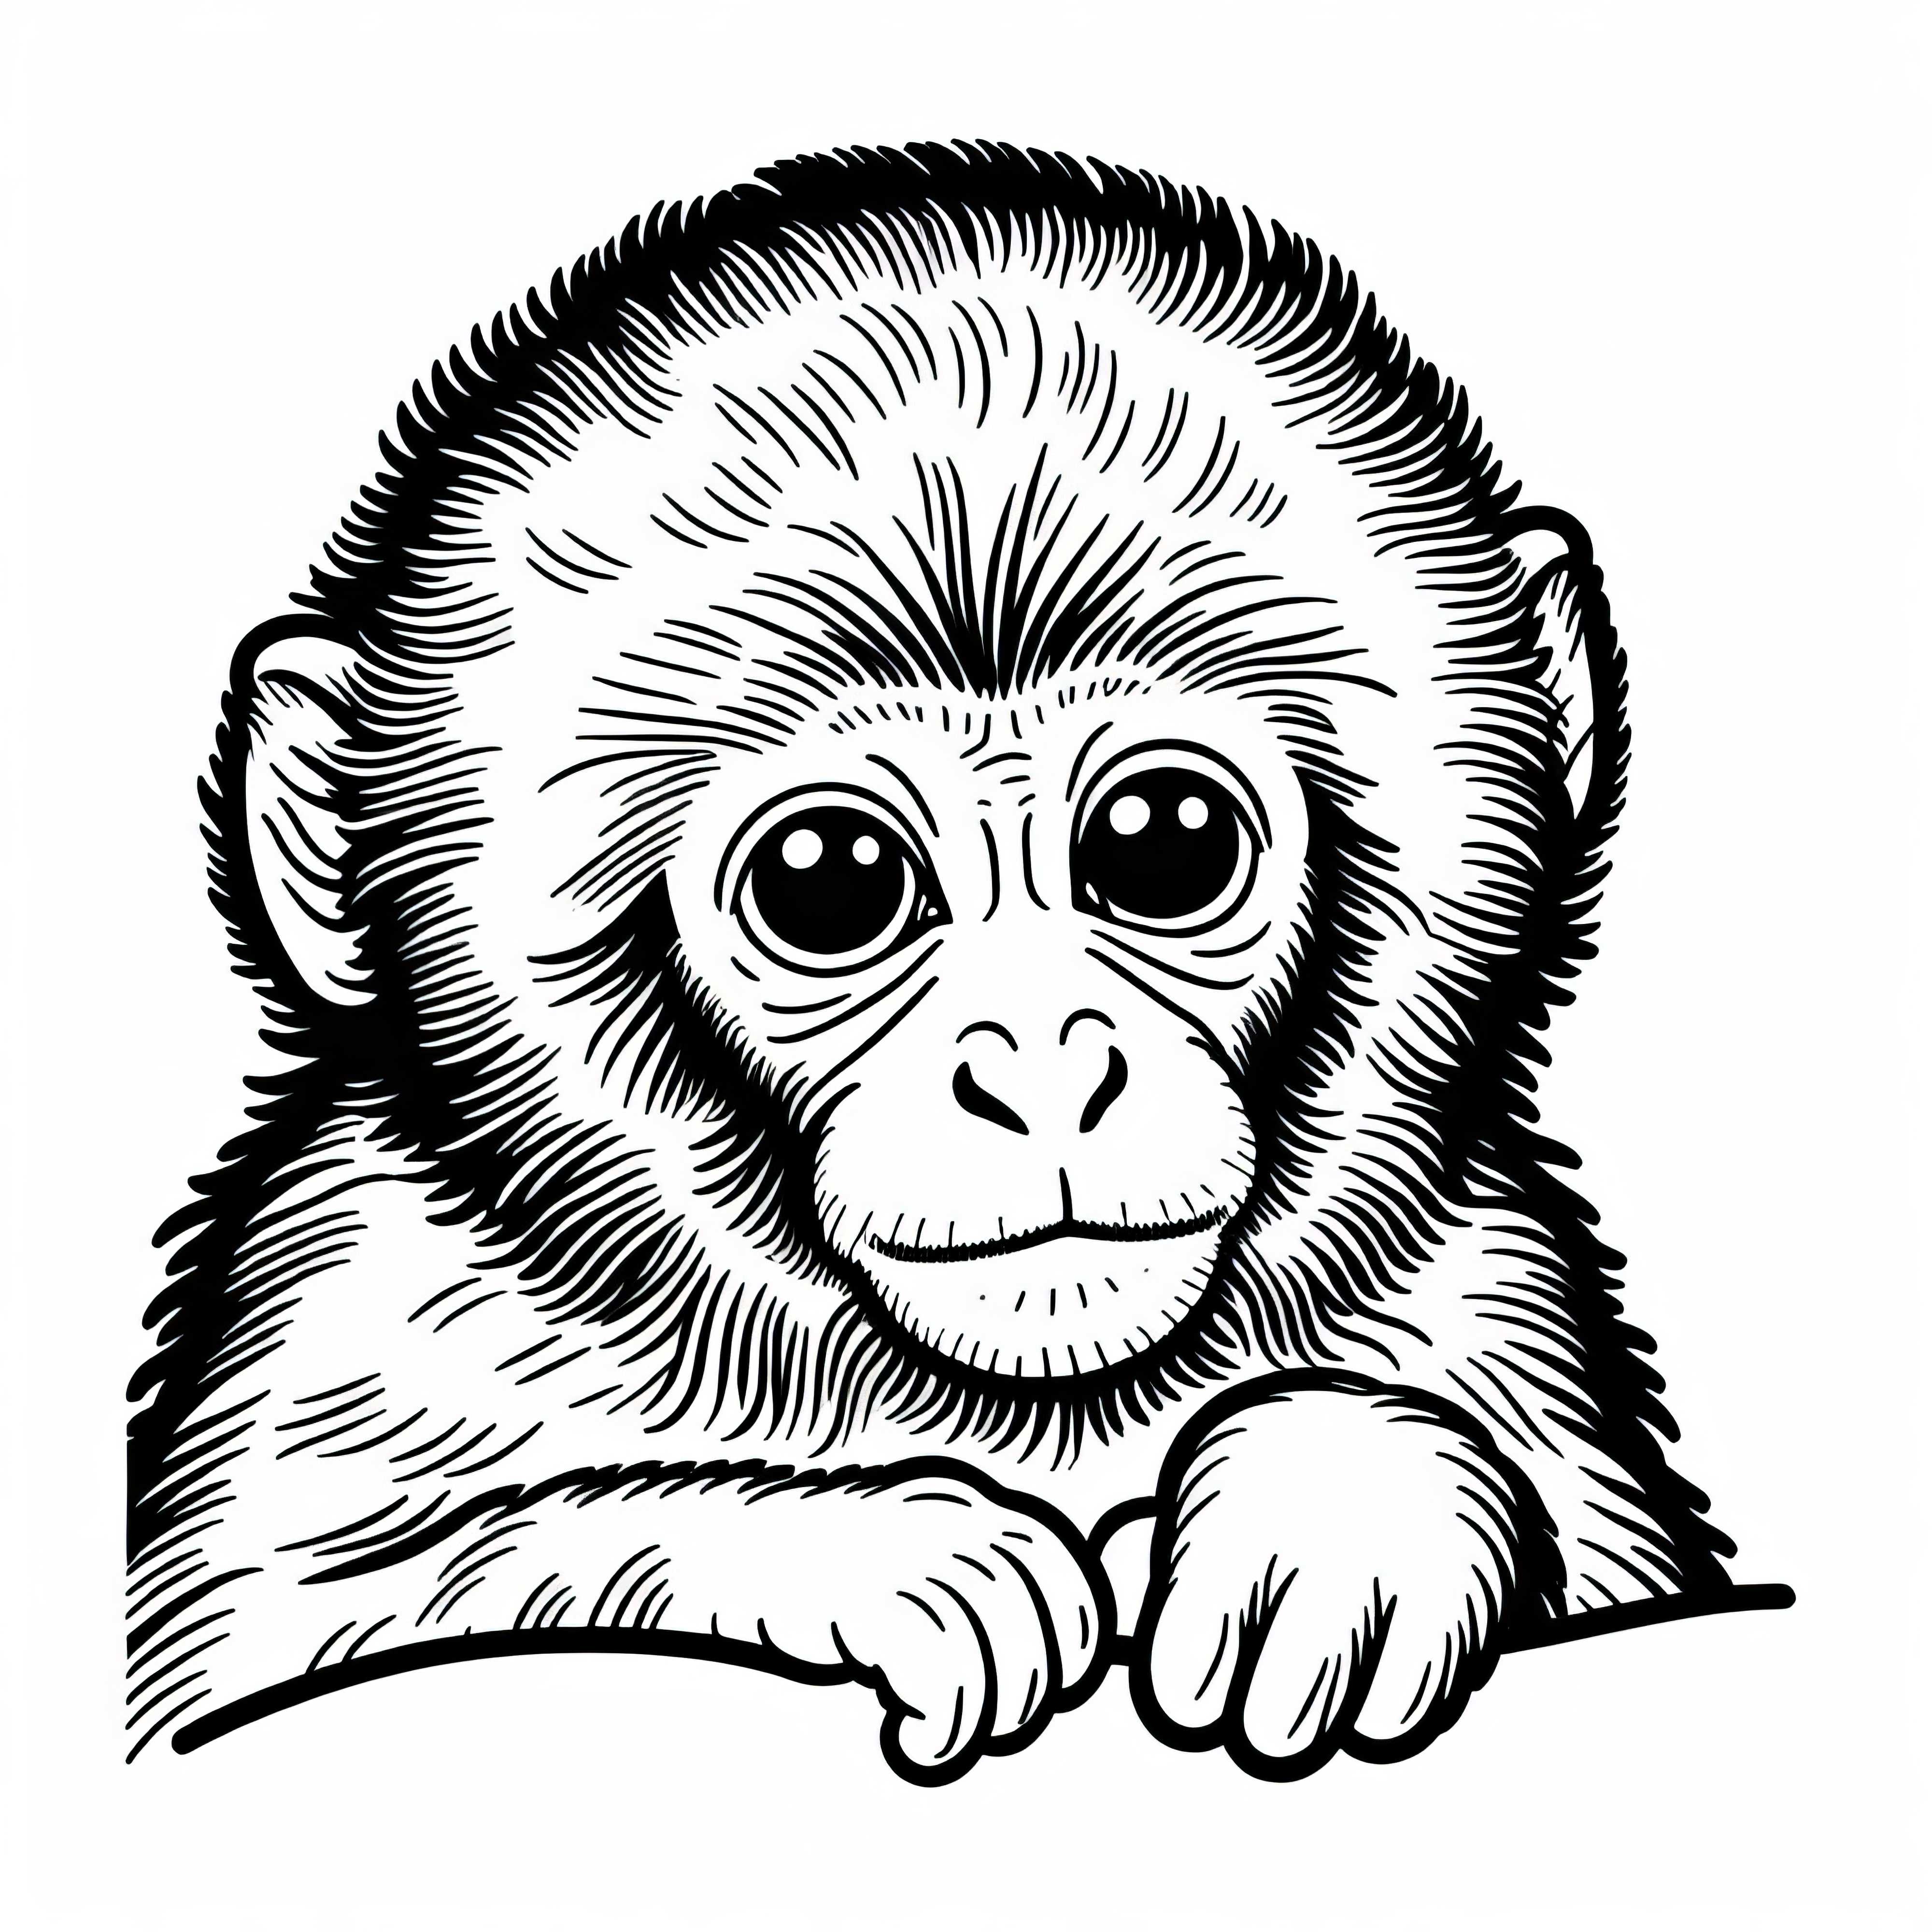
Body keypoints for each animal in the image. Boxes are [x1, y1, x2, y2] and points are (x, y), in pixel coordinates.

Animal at [128, 141, 1776, 1783]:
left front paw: (1341, 1498)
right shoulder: (352, 1308)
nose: (1045, 1064)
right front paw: (859, 1554)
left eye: (1165, 843)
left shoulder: (1494, 1294)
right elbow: (281, 1661)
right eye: (831, 884)